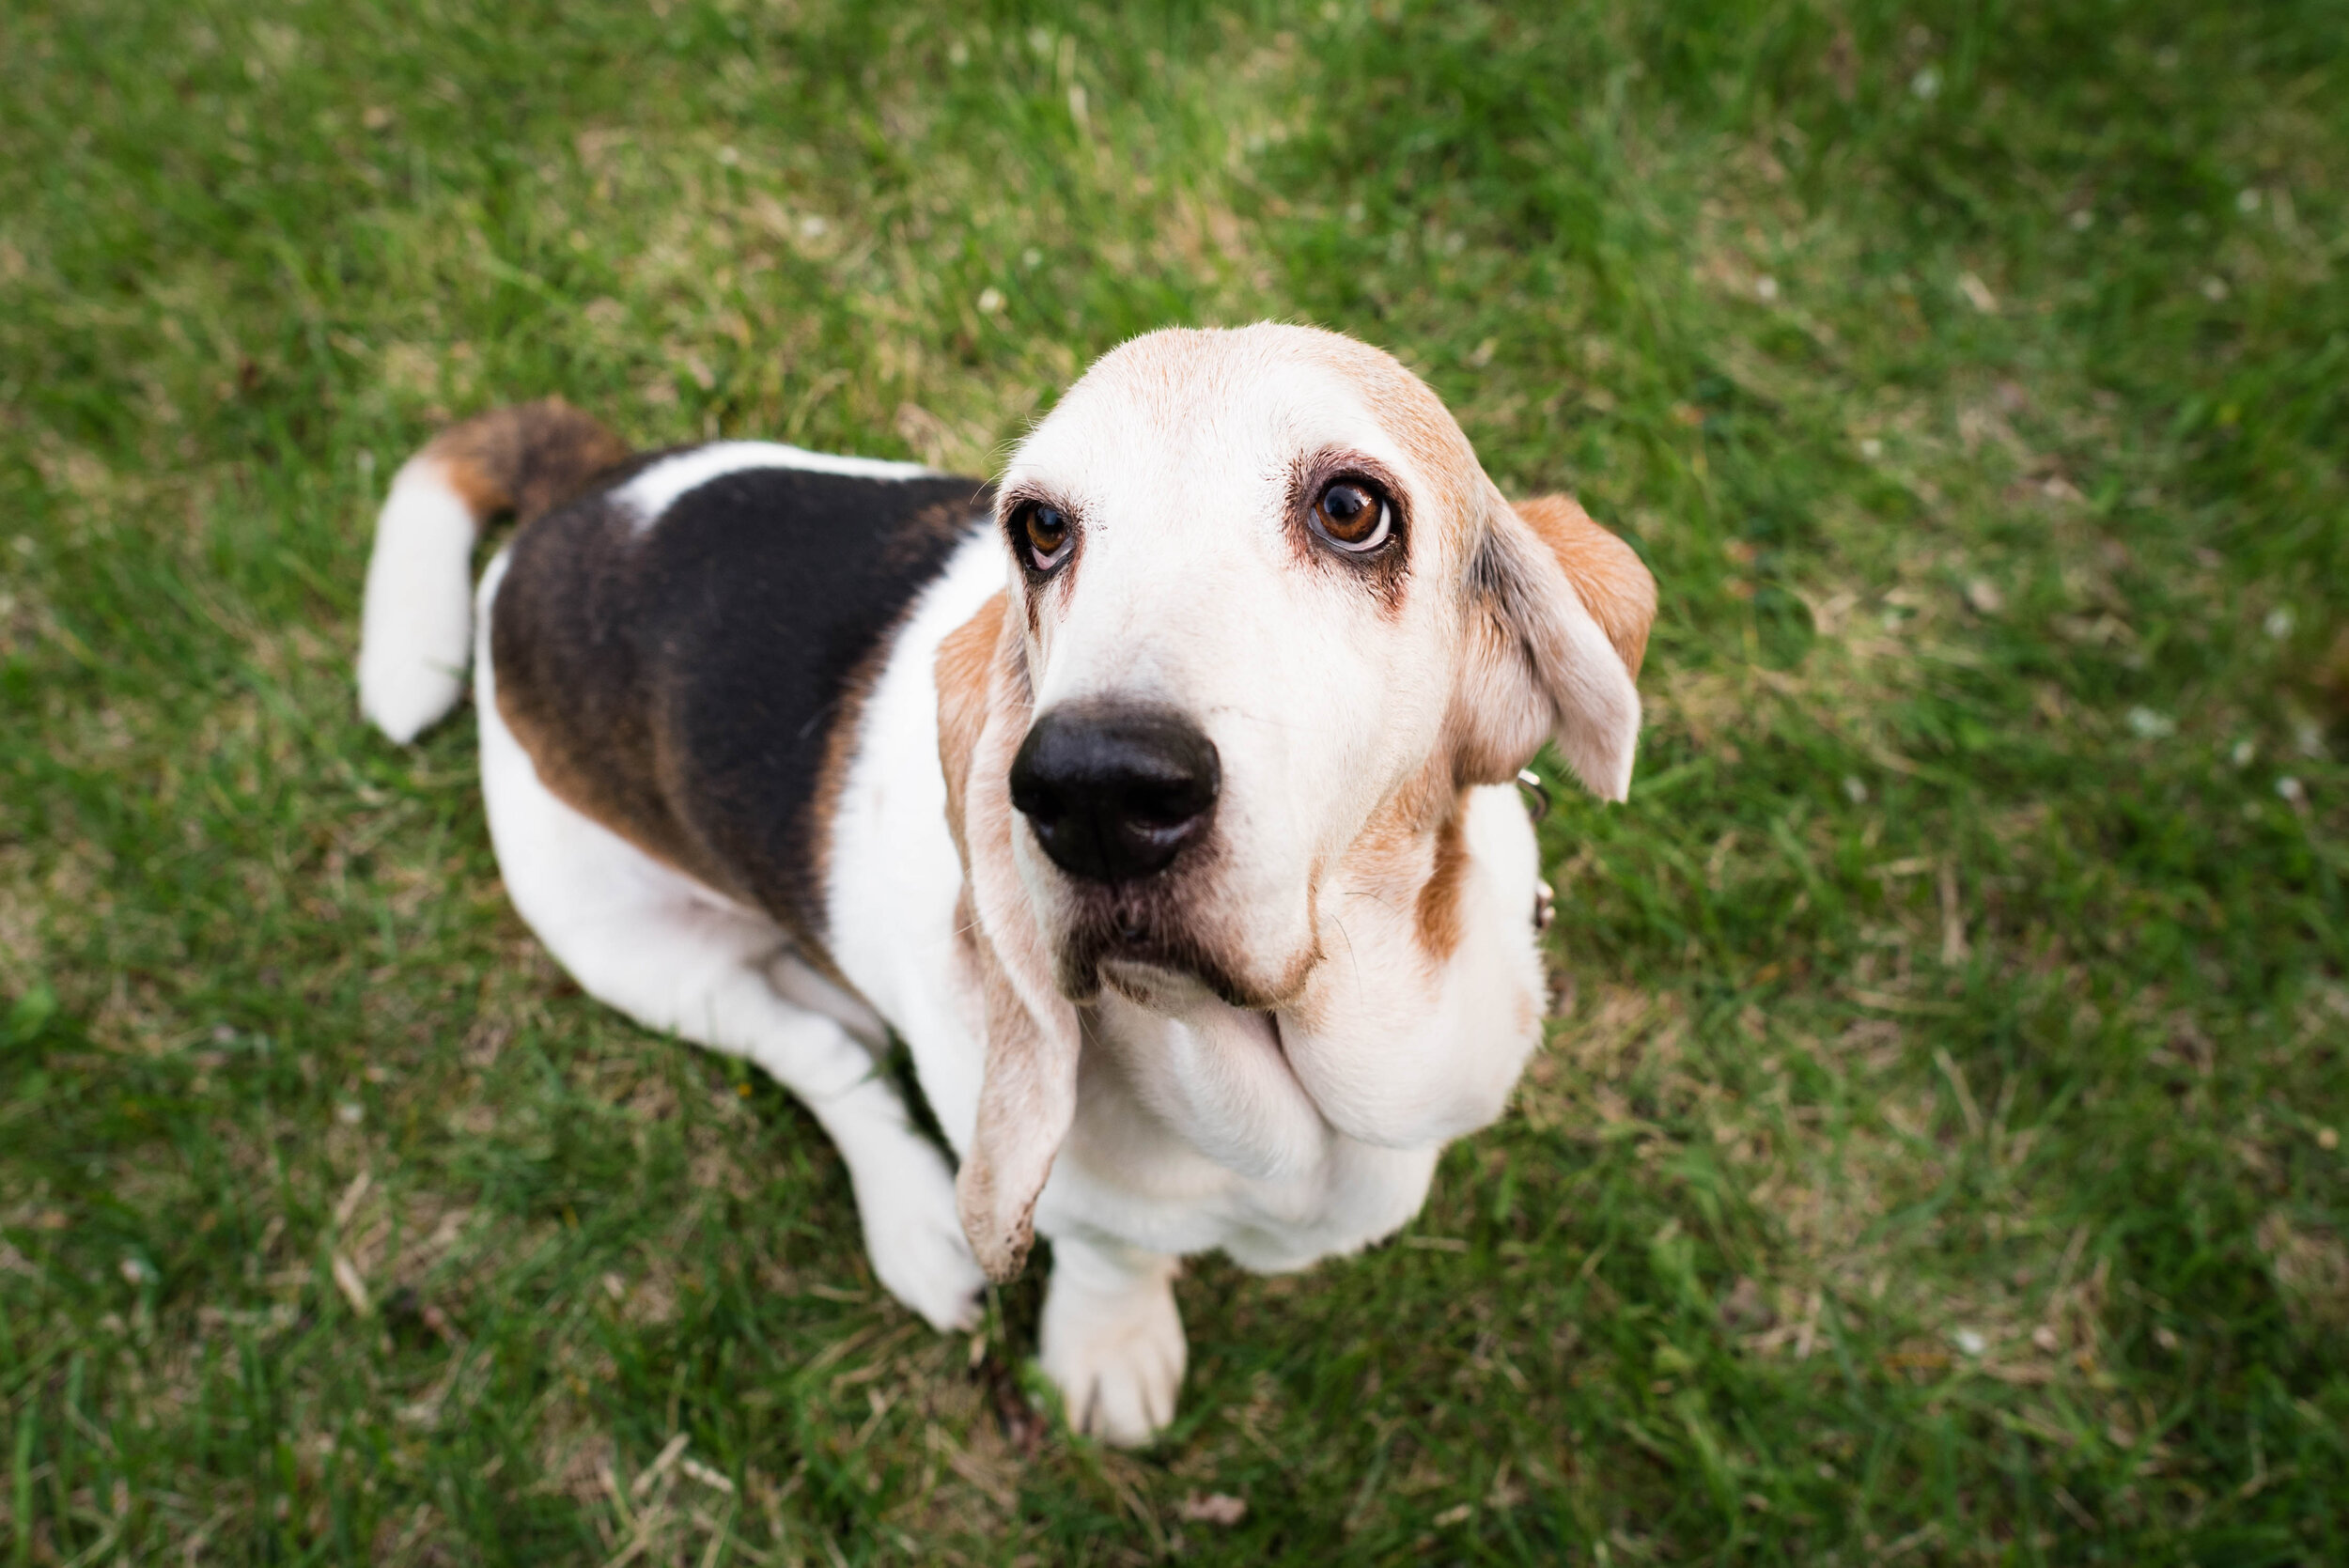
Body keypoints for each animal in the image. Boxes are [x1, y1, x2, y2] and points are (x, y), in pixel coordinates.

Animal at [357, 321, 1663, 1446]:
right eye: (1041, 529)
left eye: (1352, 509)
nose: (1091, 790)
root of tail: (579, 497)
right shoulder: (1078, 1196)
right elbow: (1110, 1250)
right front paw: (1109, 1345)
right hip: (621, 941)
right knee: (817, 1057)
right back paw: (911, 1215)